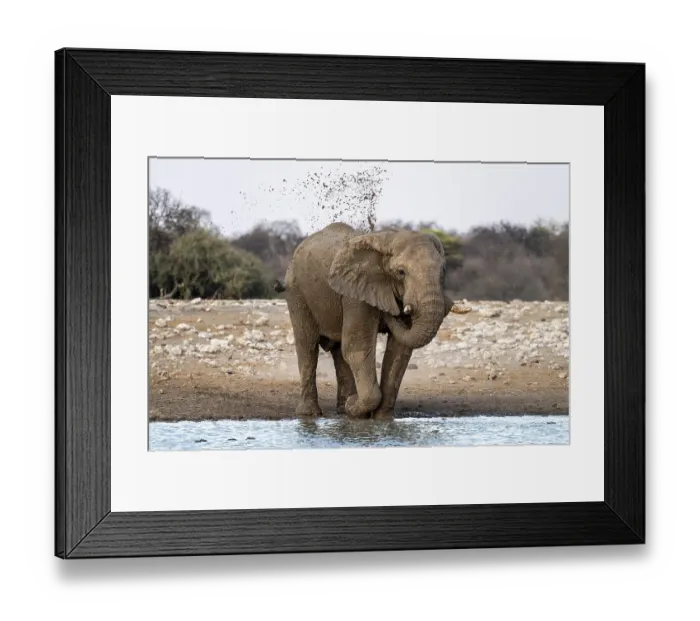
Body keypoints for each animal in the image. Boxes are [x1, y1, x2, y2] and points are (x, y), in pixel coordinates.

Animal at [278, 222, 461, 420]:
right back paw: (311, 414)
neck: (388, 239)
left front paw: (381, 419)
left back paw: (343, 410)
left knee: (338, 351)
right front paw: (354, 405)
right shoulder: (356, 295)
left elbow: (399, 352)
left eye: (443, 272)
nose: (395, 312)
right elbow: (357, 348)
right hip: (296, 292)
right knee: (308, 347)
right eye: (401, 272)